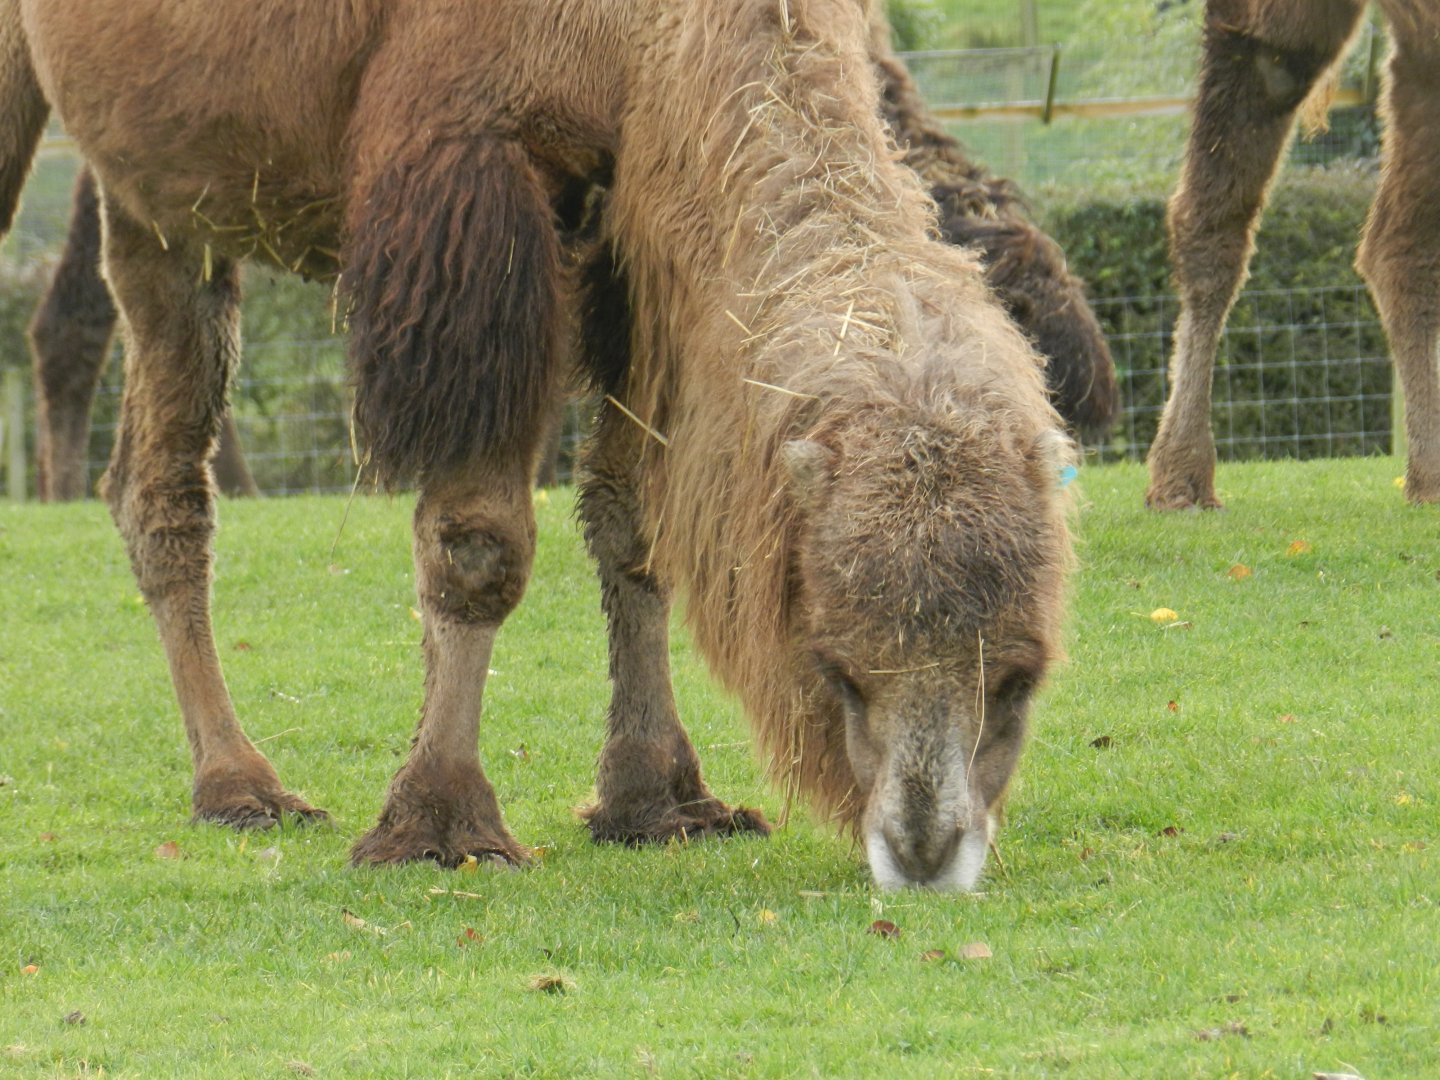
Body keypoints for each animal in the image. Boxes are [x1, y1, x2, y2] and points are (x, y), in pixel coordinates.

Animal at [2, 0, 1073, 890]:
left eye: (1021, 679)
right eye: (836, 666)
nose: (925, 852)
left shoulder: (638, 235)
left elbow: (633, 526)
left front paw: (659, 799)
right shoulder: (476, 188)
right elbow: (478, 547)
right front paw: (440, 821)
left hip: (158, 200)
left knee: (147, 472)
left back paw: (231, 781)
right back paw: (242, 786)